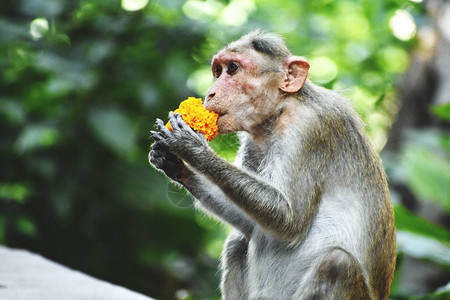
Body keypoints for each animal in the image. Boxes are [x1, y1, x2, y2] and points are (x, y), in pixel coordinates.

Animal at [149, 31, 396, 298]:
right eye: (218, 71)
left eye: (232, 69)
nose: (211, 93)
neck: (279, 110)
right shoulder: (252, 143)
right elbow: (251, 224)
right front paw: (173, 163)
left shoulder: (308, 128)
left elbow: (289, 220)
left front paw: (190, 146)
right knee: (237, 243)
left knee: (336, 264)